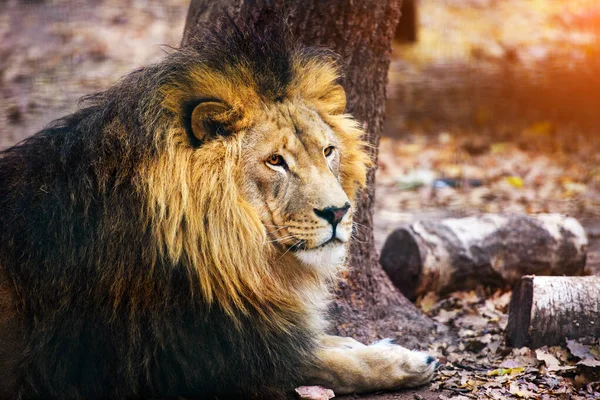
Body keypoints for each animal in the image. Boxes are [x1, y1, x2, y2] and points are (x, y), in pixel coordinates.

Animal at [0, 18, 434, 396]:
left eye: (328, 151)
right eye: (275, 161)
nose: (339, 212)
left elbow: (317, 341)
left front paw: (357, 342)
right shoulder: (187, 356)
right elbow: (322, 364)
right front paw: (404, 361)